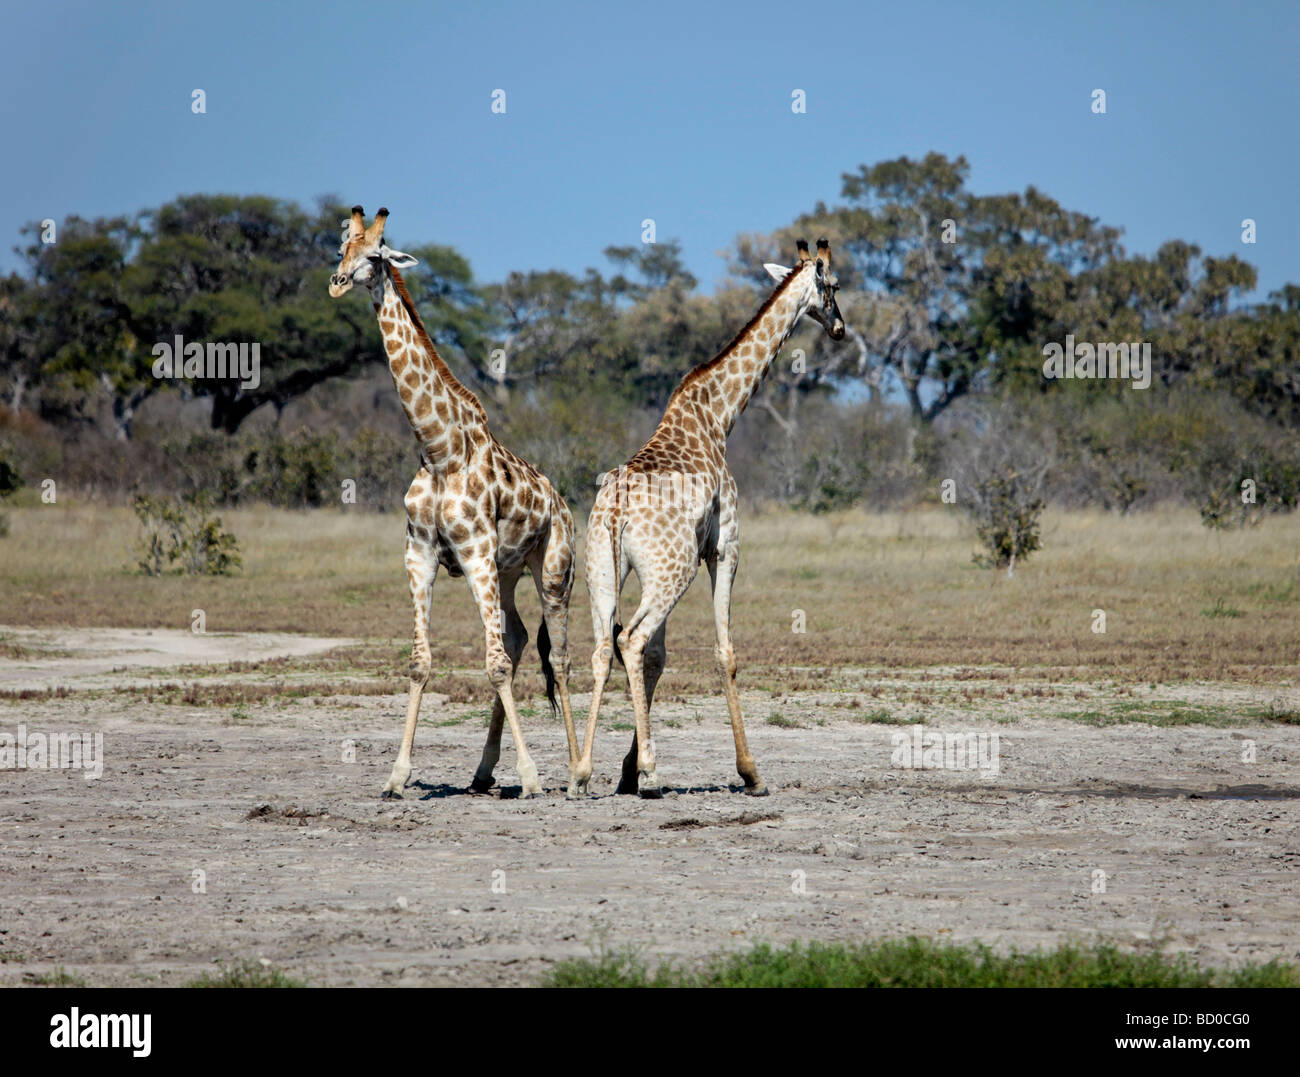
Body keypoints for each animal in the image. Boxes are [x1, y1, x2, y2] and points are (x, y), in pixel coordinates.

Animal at [329, 206, 578, 799]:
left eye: (376, 255)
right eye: (342, 247)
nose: (339, 282)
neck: (438, 449)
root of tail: (562, 504)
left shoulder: (474, 551)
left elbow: (495, 666)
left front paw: (531, 776)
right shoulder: (420, 553)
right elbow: (421, 662)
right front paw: (396, 776)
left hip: (552, 572)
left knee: (558, 658)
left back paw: (578, 771)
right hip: (506, 573)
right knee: (515, 639)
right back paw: (484, 772)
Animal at [571, 238, 845, 799]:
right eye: (833, 285)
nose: (840, 328)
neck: (720, 414)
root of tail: (615, 509)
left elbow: (659, 657)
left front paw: (625, 771)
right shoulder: (723, 548)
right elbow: (724, 653)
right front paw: (750, 772)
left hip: (602, 571)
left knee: (604, 648)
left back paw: (582, 772)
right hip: (671, 571)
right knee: (629, 640)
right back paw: (654, 771)